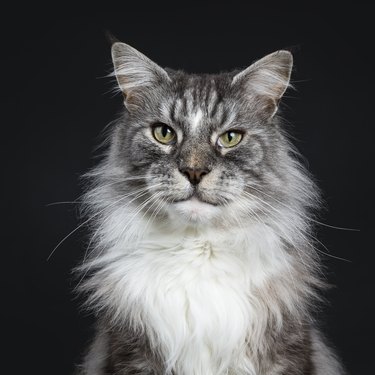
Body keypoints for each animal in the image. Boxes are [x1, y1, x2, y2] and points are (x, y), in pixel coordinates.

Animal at [75, 41, 348, 375]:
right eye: (164, 133)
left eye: (230, 138)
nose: (194, 171)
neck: (197, 251)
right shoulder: (131, 354)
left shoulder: (287, 352)